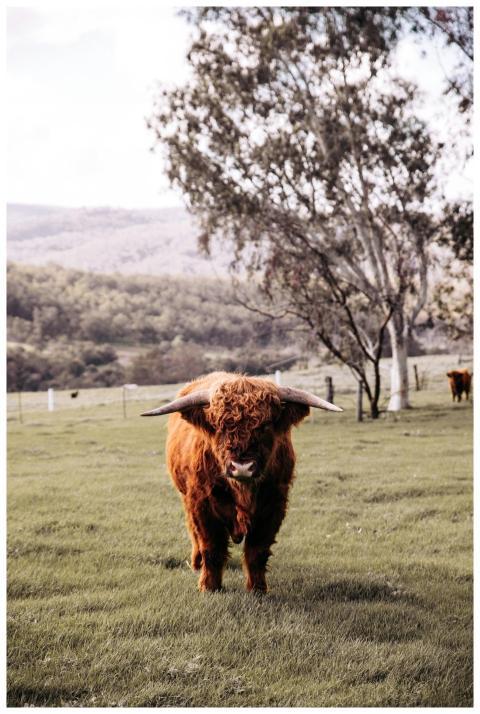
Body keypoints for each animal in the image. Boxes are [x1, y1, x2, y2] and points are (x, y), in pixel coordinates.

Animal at [141, 372, 342, 593]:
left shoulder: (273, 505)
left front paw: (257, 588)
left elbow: (257, 551)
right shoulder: (202, 505)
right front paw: (209, 587)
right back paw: (196, 563)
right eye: (219, 426)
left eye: (265, 426)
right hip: (186, 497)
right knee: (193, 532)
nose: (242, 466)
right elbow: (211, 547)